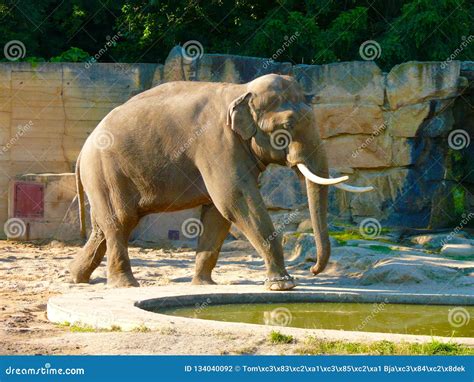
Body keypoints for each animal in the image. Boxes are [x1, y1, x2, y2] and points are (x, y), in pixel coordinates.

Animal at [68, 74, 372, 290]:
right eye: (286, 128)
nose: (312, 269)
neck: (241, 90)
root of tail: (82, 150)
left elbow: (219, 213)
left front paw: (203, 284)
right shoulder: (217, 143)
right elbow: (236, 200)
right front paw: (283, 285)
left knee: (103, 227)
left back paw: (76, 277)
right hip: (106, 172)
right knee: (121, 221)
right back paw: (125, 285)